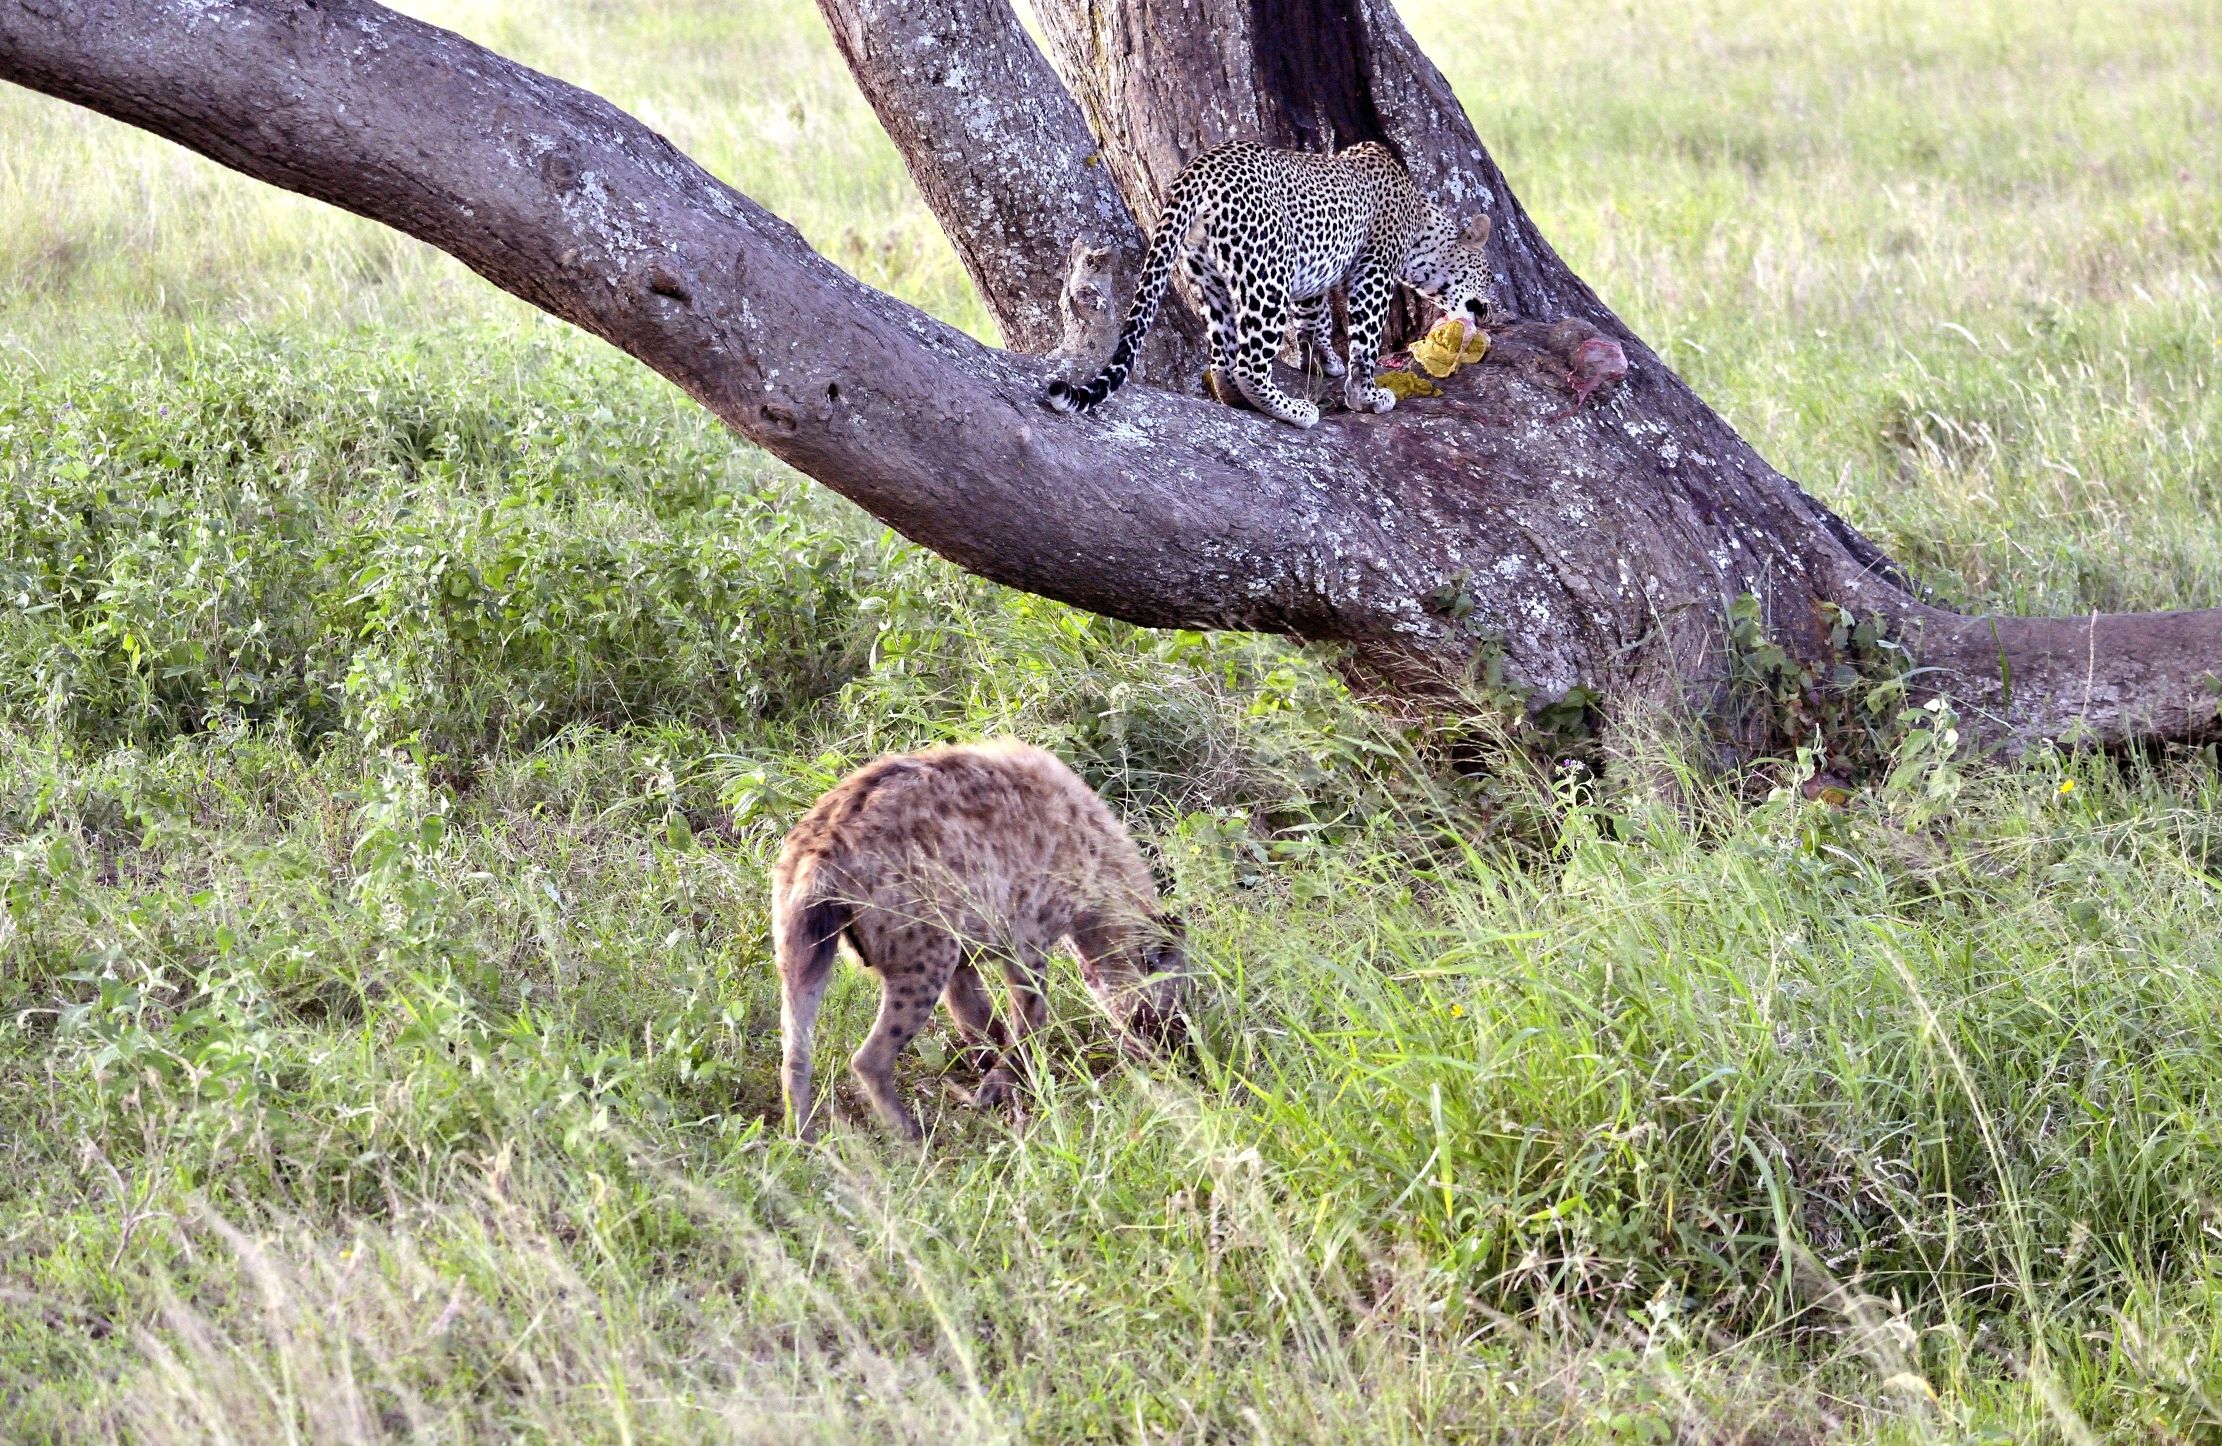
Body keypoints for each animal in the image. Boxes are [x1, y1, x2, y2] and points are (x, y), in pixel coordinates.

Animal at [772, 739, 1187, 1141]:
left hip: (800, 941)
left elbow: (978, 1019)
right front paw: (1009, 1083)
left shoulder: (963, 957)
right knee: (868, 1058)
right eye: (1174, 1011)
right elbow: (1029, 1019)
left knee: (794, 1051)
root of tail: (823, 846)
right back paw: (911, 1137)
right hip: (926, 955)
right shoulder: (1026, 937)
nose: (1180, 1051)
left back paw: (803, 1138)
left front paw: (992, 1081)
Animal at [1043, 140, 1497, 429]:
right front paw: (1366, 396)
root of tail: (1197, 168)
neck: (1422, 223)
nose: (1491, 309)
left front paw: (1325, 362)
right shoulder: (1374, 271)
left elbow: (1315, 322)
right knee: (1249, 363)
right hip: (1267, 273)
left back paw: (1235, 396)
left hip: (1211, 279)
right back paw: (1294, 411)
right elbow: (1365, 342)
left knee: (1222, 358)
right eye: (1491, 275)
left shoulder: (1311, 277)